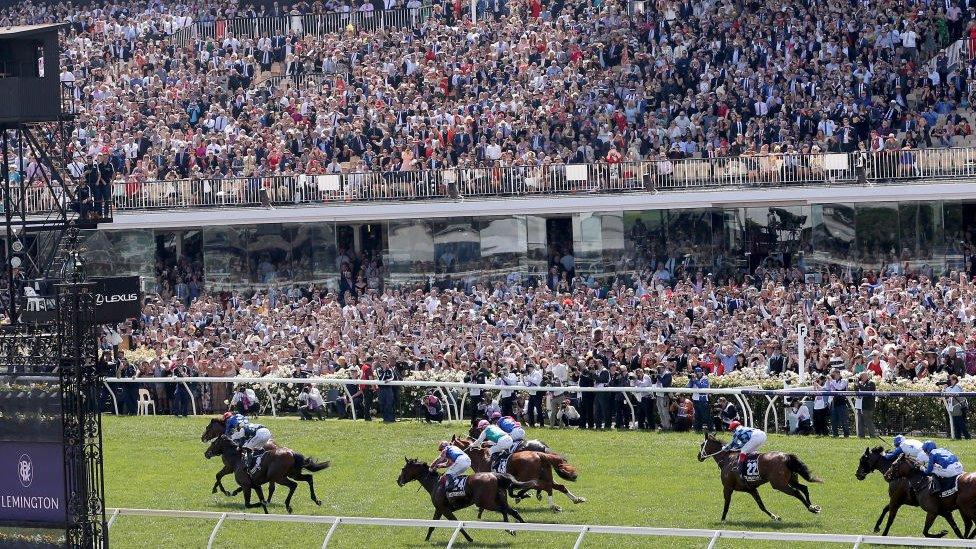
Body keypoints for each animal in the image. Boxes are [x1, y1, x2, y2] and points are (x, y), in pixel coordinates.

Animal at [394, 456, 536, 540]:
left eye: (403, 468)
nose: (398, 480)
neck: (435, 483)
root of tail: (496, 476)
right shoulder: (439, 509)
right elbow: (432, 526)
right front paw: (426, 540)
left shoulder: (445, 510)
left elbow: (458, 525)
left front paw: (469, 539)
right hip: (499, 499)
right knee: (512, 511)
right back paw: (521, 527)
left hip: (485, 502)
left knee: (503, 510)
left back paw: (509, 528)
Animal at [452, 434, 584, 512]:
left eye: (451, 444)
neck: (481, 457)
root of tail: (539, 453)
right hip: (545, 476)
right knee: (558, 486)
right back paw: (577, 499)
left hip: (531, 478)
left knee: (546, 487)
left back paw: (552, 505)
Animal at [692, 432, 824, 520]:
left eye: (702, 444)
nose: (699, 456)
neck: (727, 459)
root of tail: (786, 456)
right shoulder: (751, 489)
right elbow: (761, 505)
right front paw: (775, 516)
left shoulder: (727, 487)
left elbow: (727, 504)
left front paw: (722, 519)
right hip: (790, 480)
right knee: (804, 488)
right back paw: (813, 506)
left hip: (779, 484)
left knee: (797, 492)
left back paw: (811, 508)